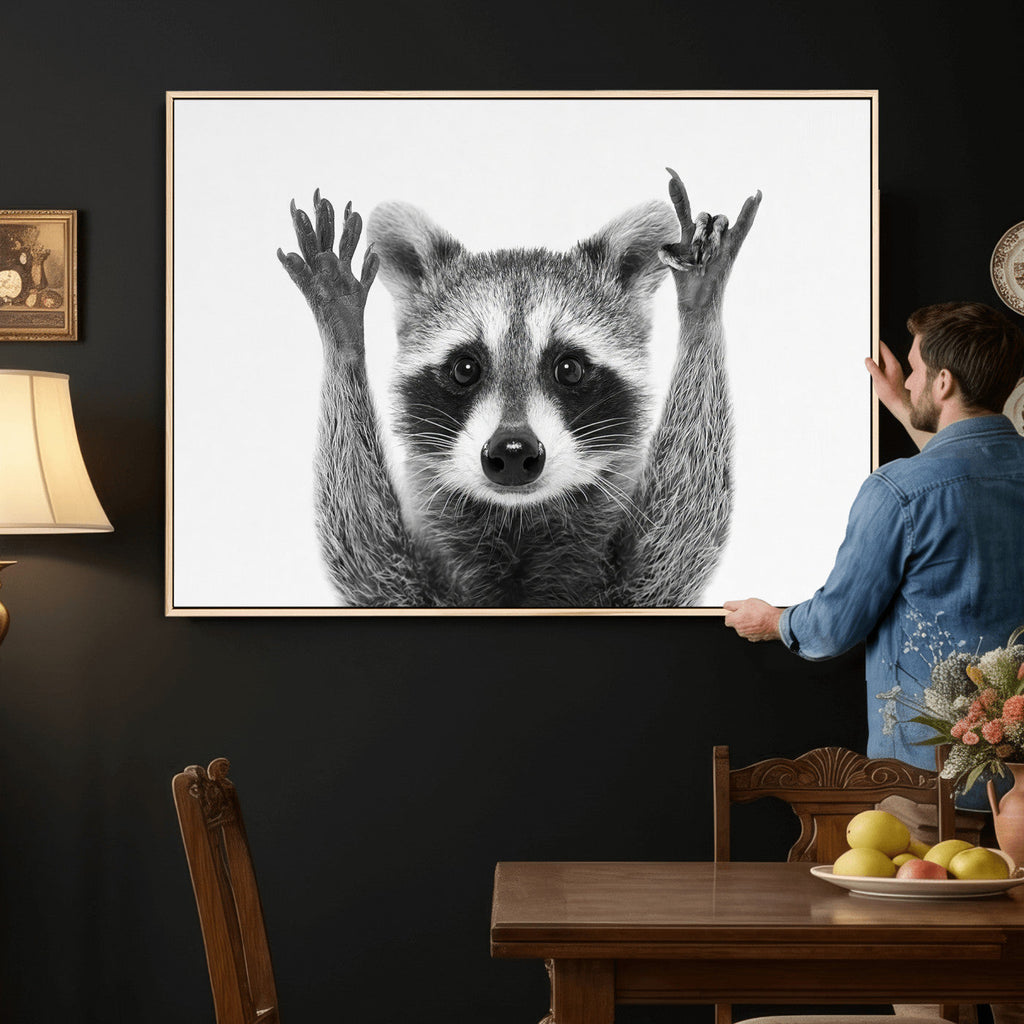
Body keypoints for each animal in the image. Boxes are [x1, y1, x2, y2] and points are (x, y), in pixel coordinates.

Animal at [278, 170, 761, 608]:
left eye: (569, 369)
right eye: (465, 369)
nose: (512, 452)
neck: (517, 523)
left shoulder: (638, 588)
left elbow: (682, 533)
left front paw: (700, 307)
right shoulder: (407, 585)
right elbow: (364, 555)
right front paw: (342, 332)